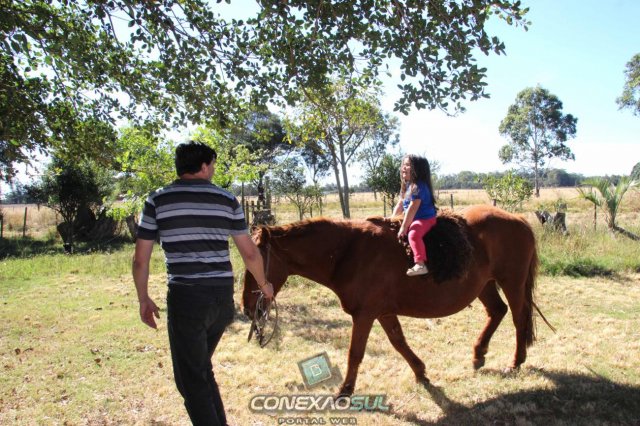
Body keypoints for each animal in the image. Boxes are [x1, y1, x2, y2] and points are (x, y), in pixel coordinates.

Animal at [242, 204, 552, 397]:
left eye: (253, 263)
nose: (247, 307)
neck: (348, 252)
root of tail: (519, 220)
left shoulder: (365, 315)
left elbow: (356, 353)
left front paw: (345, 390)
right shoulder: (382, 313)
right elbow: (399, 342)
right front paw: (421, 372)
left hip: (511, 283)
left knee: (518, 318)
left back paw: (516, 361)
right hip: (484, 285)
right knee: (497, 312)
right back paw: (478, 354)